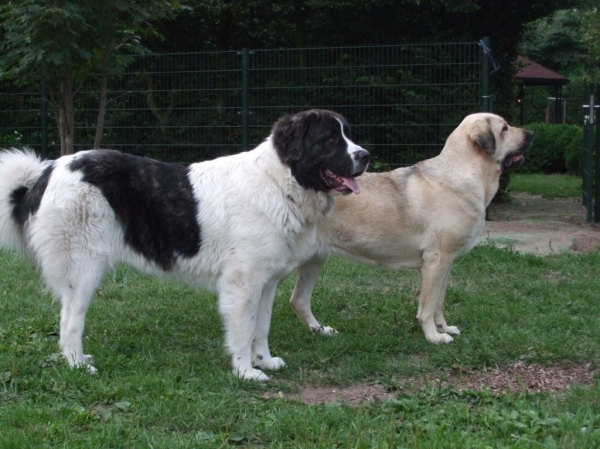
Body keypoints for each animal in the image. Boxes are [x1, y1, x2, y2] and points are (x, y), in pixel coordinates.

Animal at [0, 108, 368, 378]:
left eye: (348, 134)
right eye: (329, 138)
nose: (365, 155)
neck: (281, 182)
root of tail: (48, 172)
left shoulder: (266, 281)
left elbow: (260, 327)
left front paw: (264, 360)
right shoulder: (243, 282)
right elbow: (243, 329)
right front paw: (246, 372)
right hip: (85, 268)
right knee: (69, 321)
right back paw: (78, 365)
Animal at [290, 113, 536, 344]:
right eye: (504, 128)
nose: (532, 133)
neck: (466, 170)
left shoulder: (446, 263)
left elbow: (439, 302)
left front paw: (444, 328)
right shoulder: (436, 260)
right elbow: (428, 307)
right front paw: (434, 337)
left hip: (315, 259)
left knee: (298, 300)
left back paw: (320, 330)